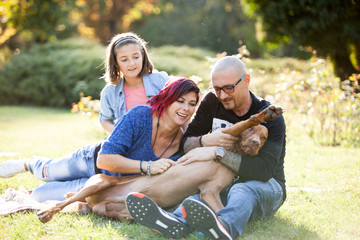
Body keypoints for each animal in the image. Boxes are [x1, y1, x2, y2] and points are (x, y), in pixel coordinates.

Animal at [37, 105, 284, 223]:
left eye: (263, 138)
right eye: (252, 133)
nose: (254, 144)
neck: (230, 153)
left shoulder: (209, 192)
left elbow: (221, 212)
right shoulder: (218, 141)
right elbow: (242, 123)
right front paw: (263, 114)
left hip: (112, 206)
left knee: (105, 211)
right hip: (98, 183)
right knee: (65, 201)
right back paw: (47, 212)